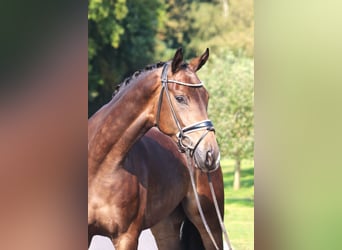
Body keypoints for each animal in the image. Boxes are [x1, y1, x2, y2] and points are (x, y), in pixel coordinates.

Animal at [88, 47, 220, 249]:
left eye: (207, 98)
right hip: (166, 227)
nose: (210, 154)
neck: (99, 166)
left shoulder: (127, 237)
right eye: (180, 98)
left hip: (211, 224)